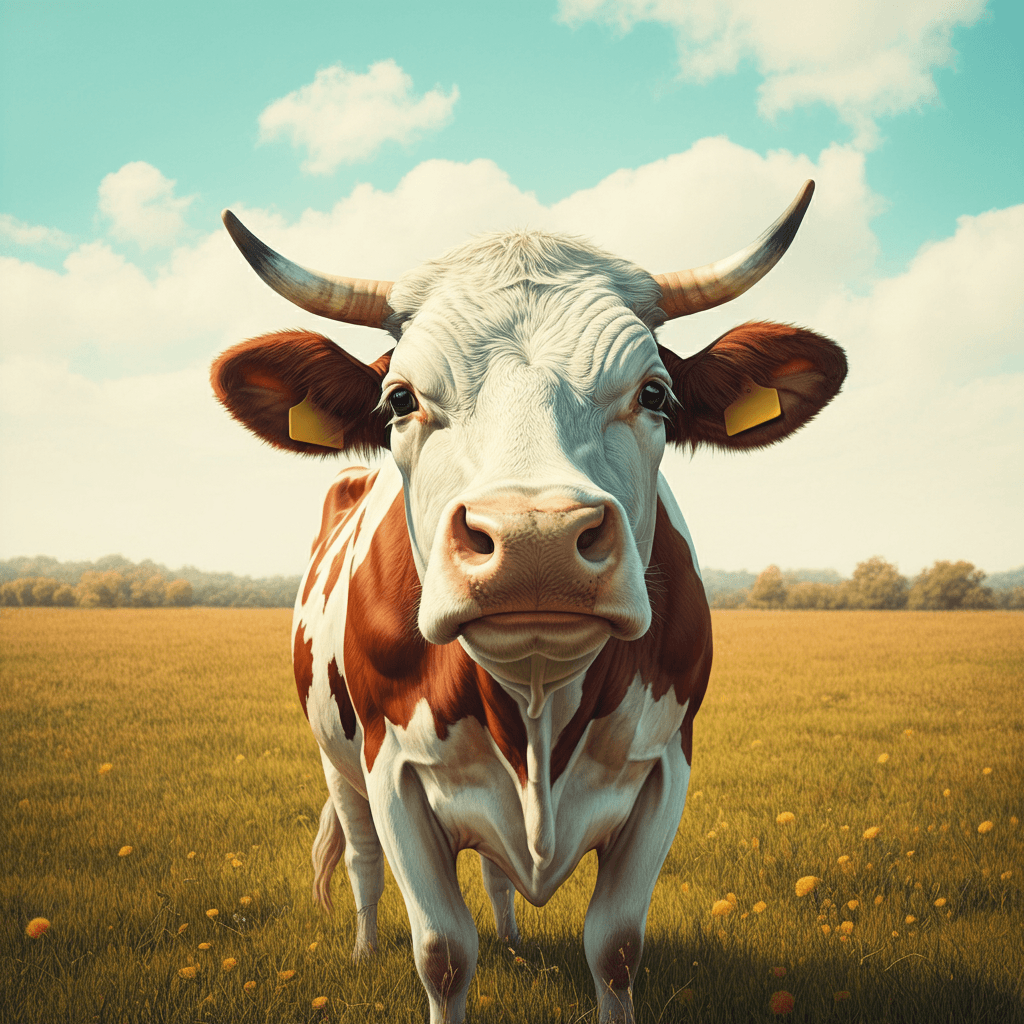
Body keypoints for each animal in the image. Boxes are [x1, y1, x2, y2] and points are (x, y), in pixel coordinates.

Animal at [211, 181, 846, 1024]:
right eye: (399, 399)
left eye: (654, 392)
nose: (533, 540)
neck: (538, 708)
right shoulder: (391, 771)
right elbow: (443, 953)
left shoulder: (667, 768)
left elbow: (615, 947)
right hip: (337, 764)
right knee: (361, 861)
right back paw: (365, 948)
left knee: (497, 873)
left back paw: (512, 939)